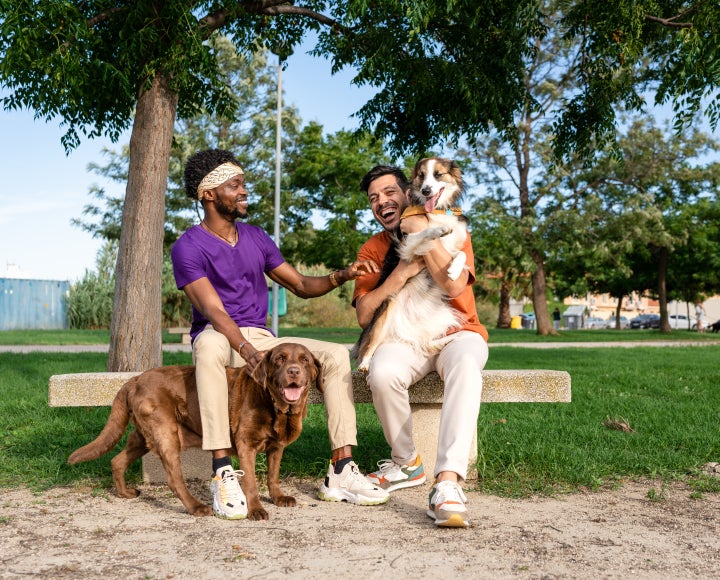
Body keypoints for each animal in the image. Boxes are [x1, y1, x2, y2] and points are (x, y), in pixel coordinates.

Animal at [68, 342, 324, 520]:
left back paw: (124, 493)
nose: (293, 371)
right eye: (280, 359)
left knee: (117, 460)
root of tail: (134, 379)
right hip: (166, 434)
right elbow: (251, 481)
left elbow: (273, 475)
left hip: (143, 436)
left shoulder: (276, 447)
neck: (275, 405)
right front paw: (256, 510)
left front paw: (278, 498)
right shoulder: (246, 445)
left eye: (304, 360)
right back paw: (197, 507)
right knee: (174, 479)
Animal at [352, 156, 470, 372]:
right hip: (383, 317)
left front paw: (454, 270)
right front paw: (439, 230)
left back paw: (445, 341)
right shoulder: (408, 246)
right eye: (421, 176)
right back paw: (364, 364)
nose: (425, 190)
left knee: (427, 341)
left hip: (441, 317)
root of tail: (402, 331)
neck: (436, 211)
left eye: (438, 174)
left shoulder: (452, 247)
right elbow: (425, 232)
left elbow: (462, 255)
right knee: (371, 345)